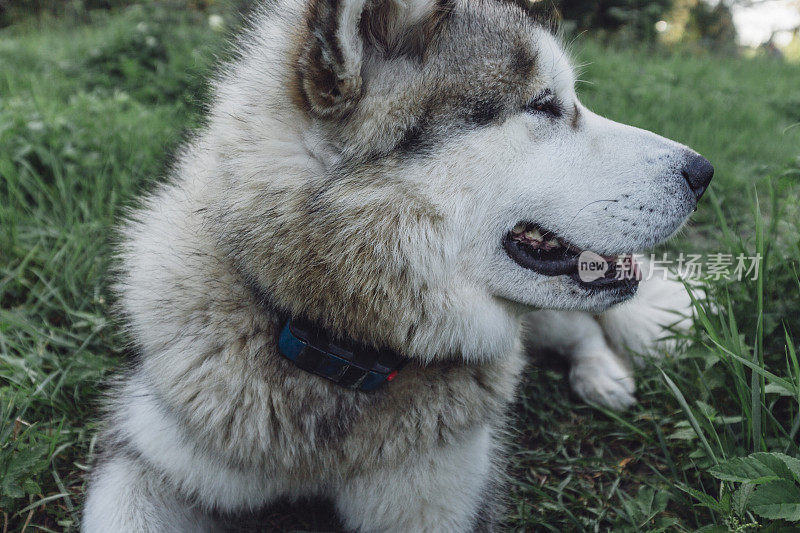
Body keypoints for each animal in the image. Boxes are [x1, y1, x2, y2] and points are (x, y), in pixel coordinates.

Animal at [83, 0, 712, 528]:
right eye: (543, 104)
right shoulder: (143, 458)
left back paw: (602, 374)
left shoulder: (437, 500)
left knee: (582, 329)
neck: (339, 349)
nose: (703, 172)